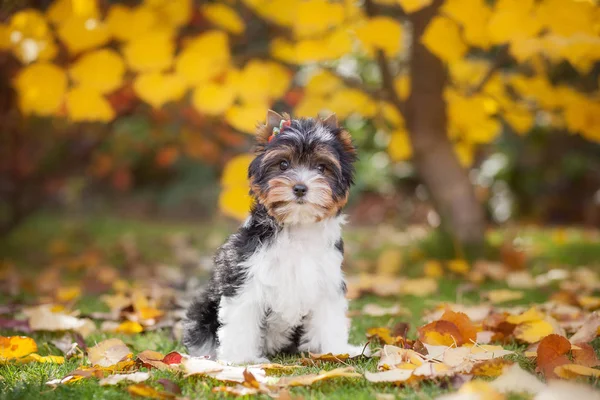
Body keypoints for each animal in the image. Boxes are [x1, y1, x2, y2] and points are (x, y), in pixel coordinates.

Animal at [183, 111, 360, 364]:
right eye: (283, 164)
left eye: (321, 167)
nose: (300, 188)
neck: (296, 227)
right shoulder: (246, 277)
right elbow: (241, 321)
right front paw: (242, 360)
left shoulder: (327, 281)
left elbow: (329, 319)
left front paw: (337, 350)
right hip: (203, 311)